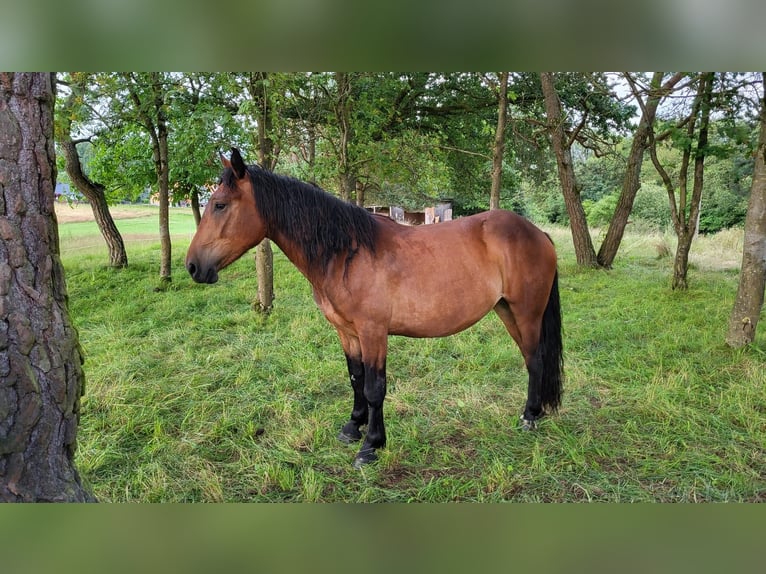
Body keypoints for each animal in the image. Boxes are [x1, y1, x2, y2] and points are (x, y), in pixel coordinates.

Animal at [186, 148, 564, 468]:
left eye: (220, 205)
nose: (192, 267)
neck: (346, 253)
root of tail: (538, 233)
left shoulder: (373, 332)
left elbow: (374, 387)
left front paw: (371, 446)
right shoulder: (347, 331)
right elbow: (356, 379)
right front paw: (353, 427)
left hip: (527, 312)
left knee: (536, 359)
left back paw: (530, 416)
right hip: (506, 311)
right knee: (530, 358)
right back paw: (535, 412)